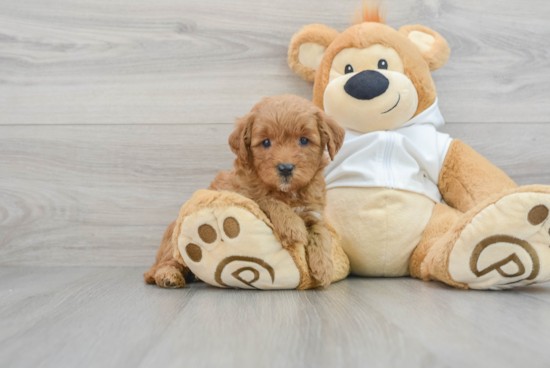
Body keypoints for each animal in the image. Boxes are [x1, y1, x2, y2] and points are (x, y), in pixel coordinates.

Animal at [146, 94, 344, 288]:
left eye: (304, 140)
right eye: (266, 142)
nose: (286, 168)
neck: (288, 192)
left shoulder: (313, 212)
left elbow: (321, 233)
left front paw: (324, 268)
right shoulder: (244, 194)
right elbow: (267, 200)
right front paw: (292, 227)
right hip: (172, 248)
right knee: (164, 265)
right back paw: (169, 277)